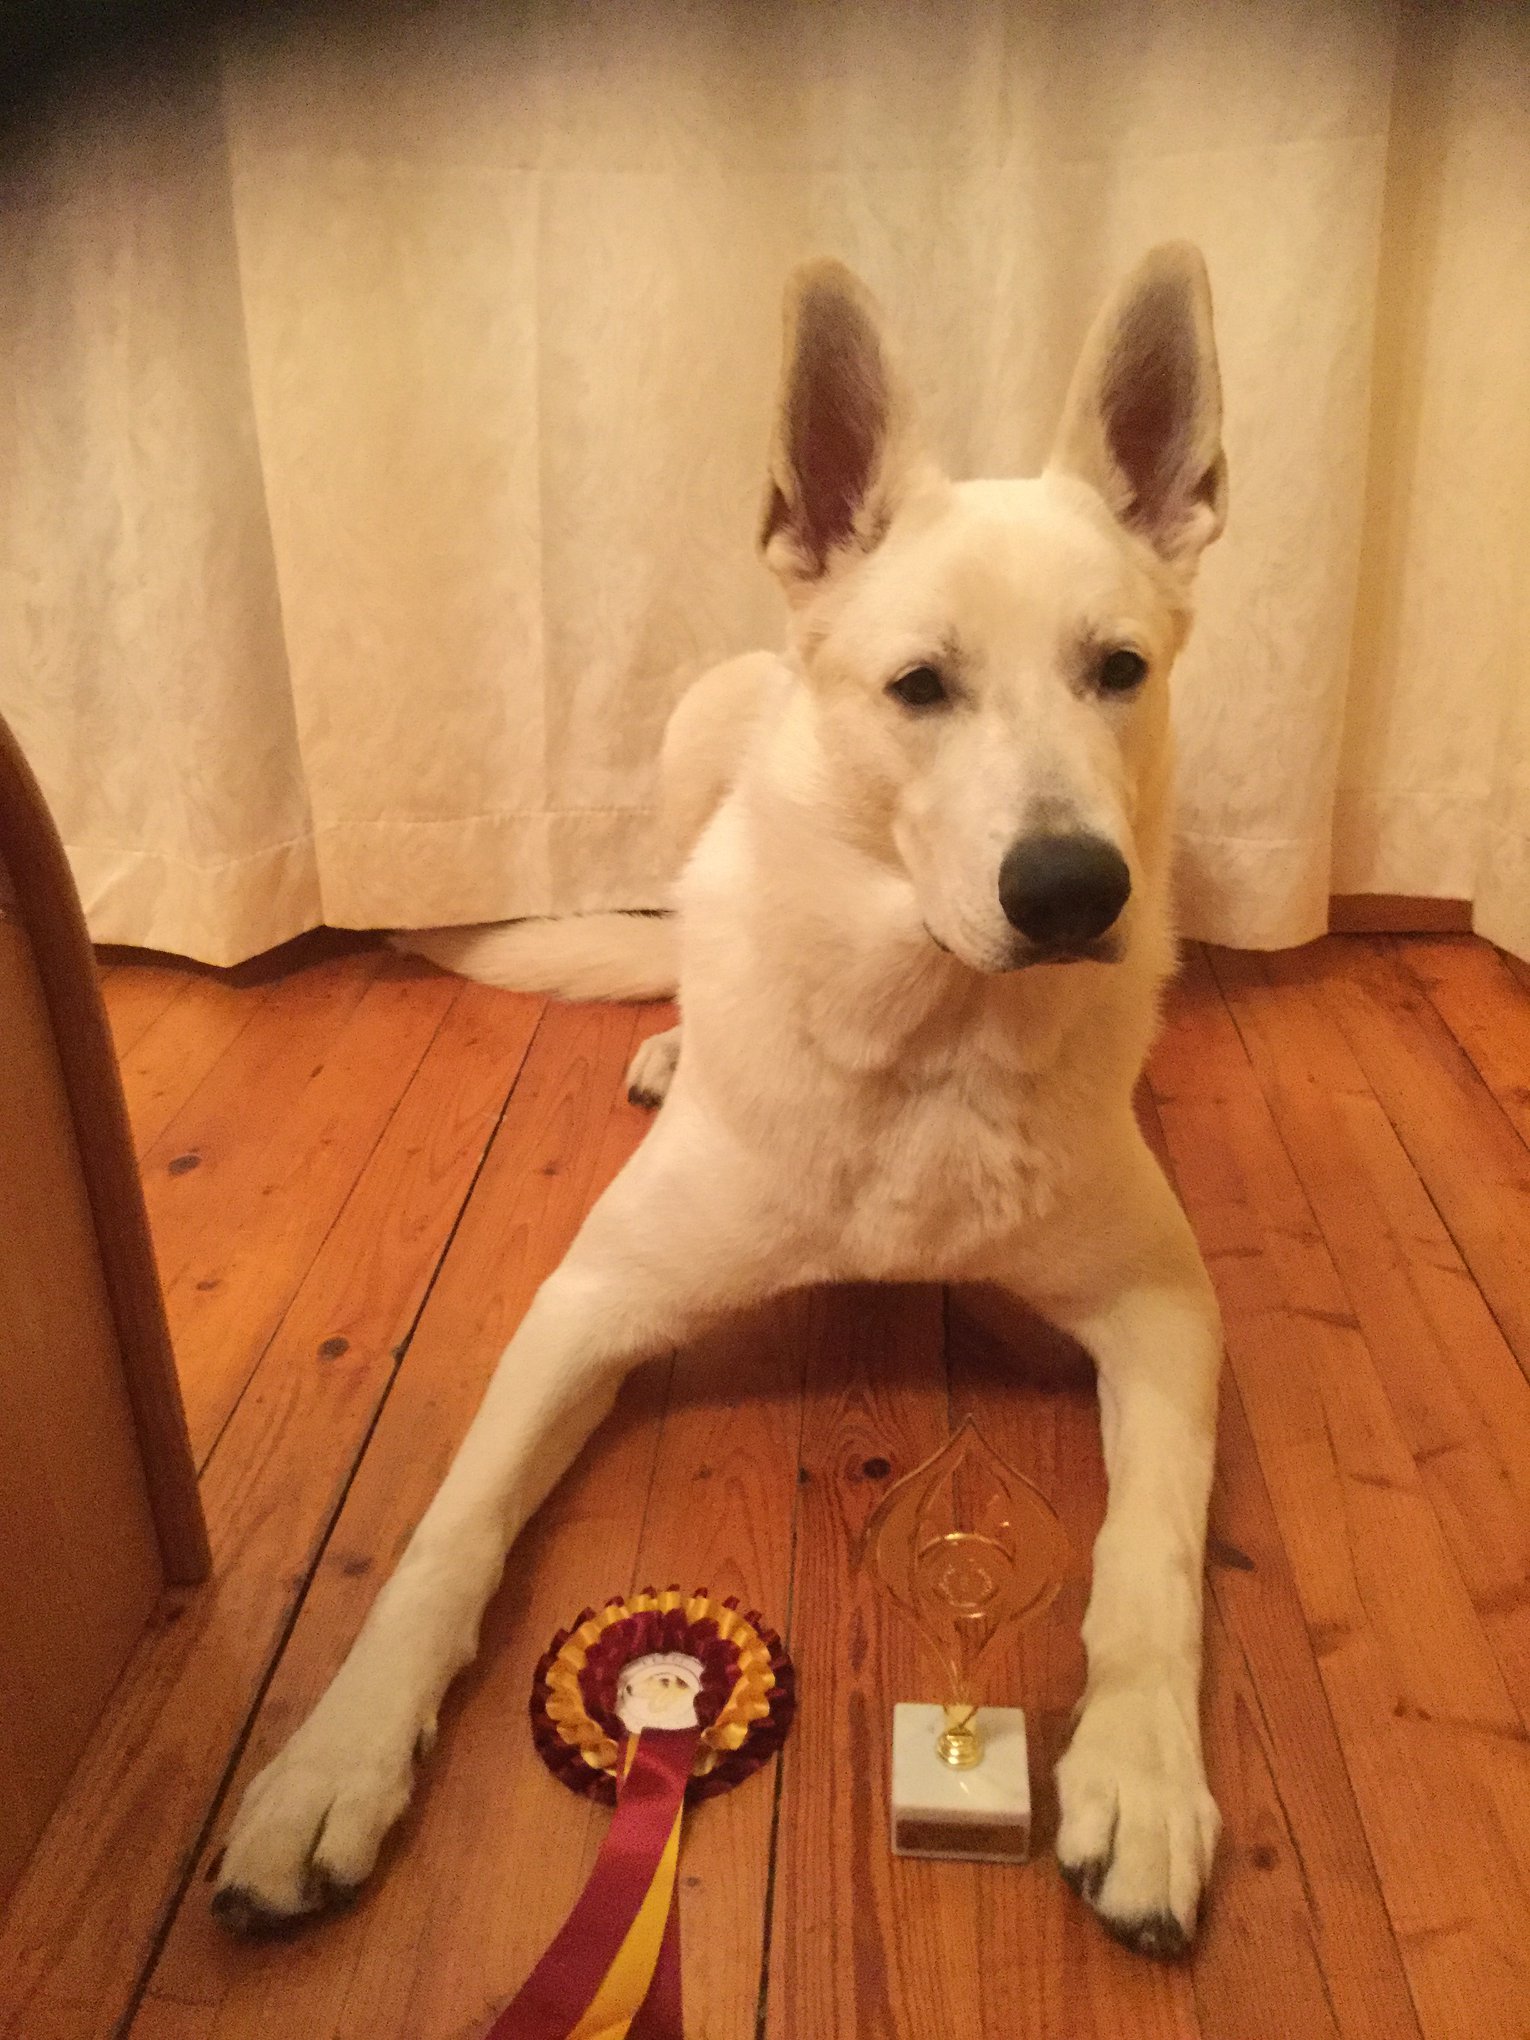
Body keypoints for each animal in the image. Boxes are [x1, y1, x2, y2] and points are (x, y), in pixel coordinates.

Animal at [216, 242, 1232, 1958]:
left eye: (1118, 672)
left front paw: (1145, 1776)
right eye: (918, 687)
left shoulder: (1163, 1304)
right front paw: (333, 1760)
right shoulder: (587, 1301)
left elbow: (1147, 1557)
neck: (928, 1043)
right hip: (702, 717)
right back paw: (675, 1036)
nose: (1070, 892)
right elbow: (444, 1536)